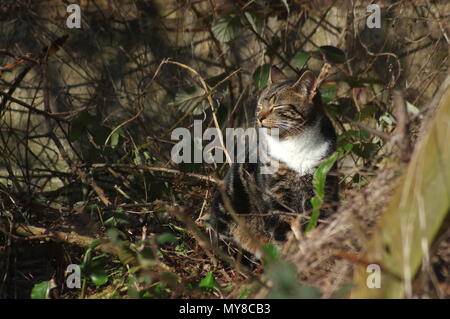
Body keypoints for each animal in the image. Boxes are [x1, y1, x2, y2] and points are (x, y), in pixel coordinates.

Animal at [209, 66, 336, 258]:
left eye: (277, 106)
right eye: (260, 106)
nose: (259, 117)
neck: (294, 143)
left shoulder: (321, 185)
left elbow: (319, 221)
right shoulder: (276, 194)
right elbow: (283, 231)